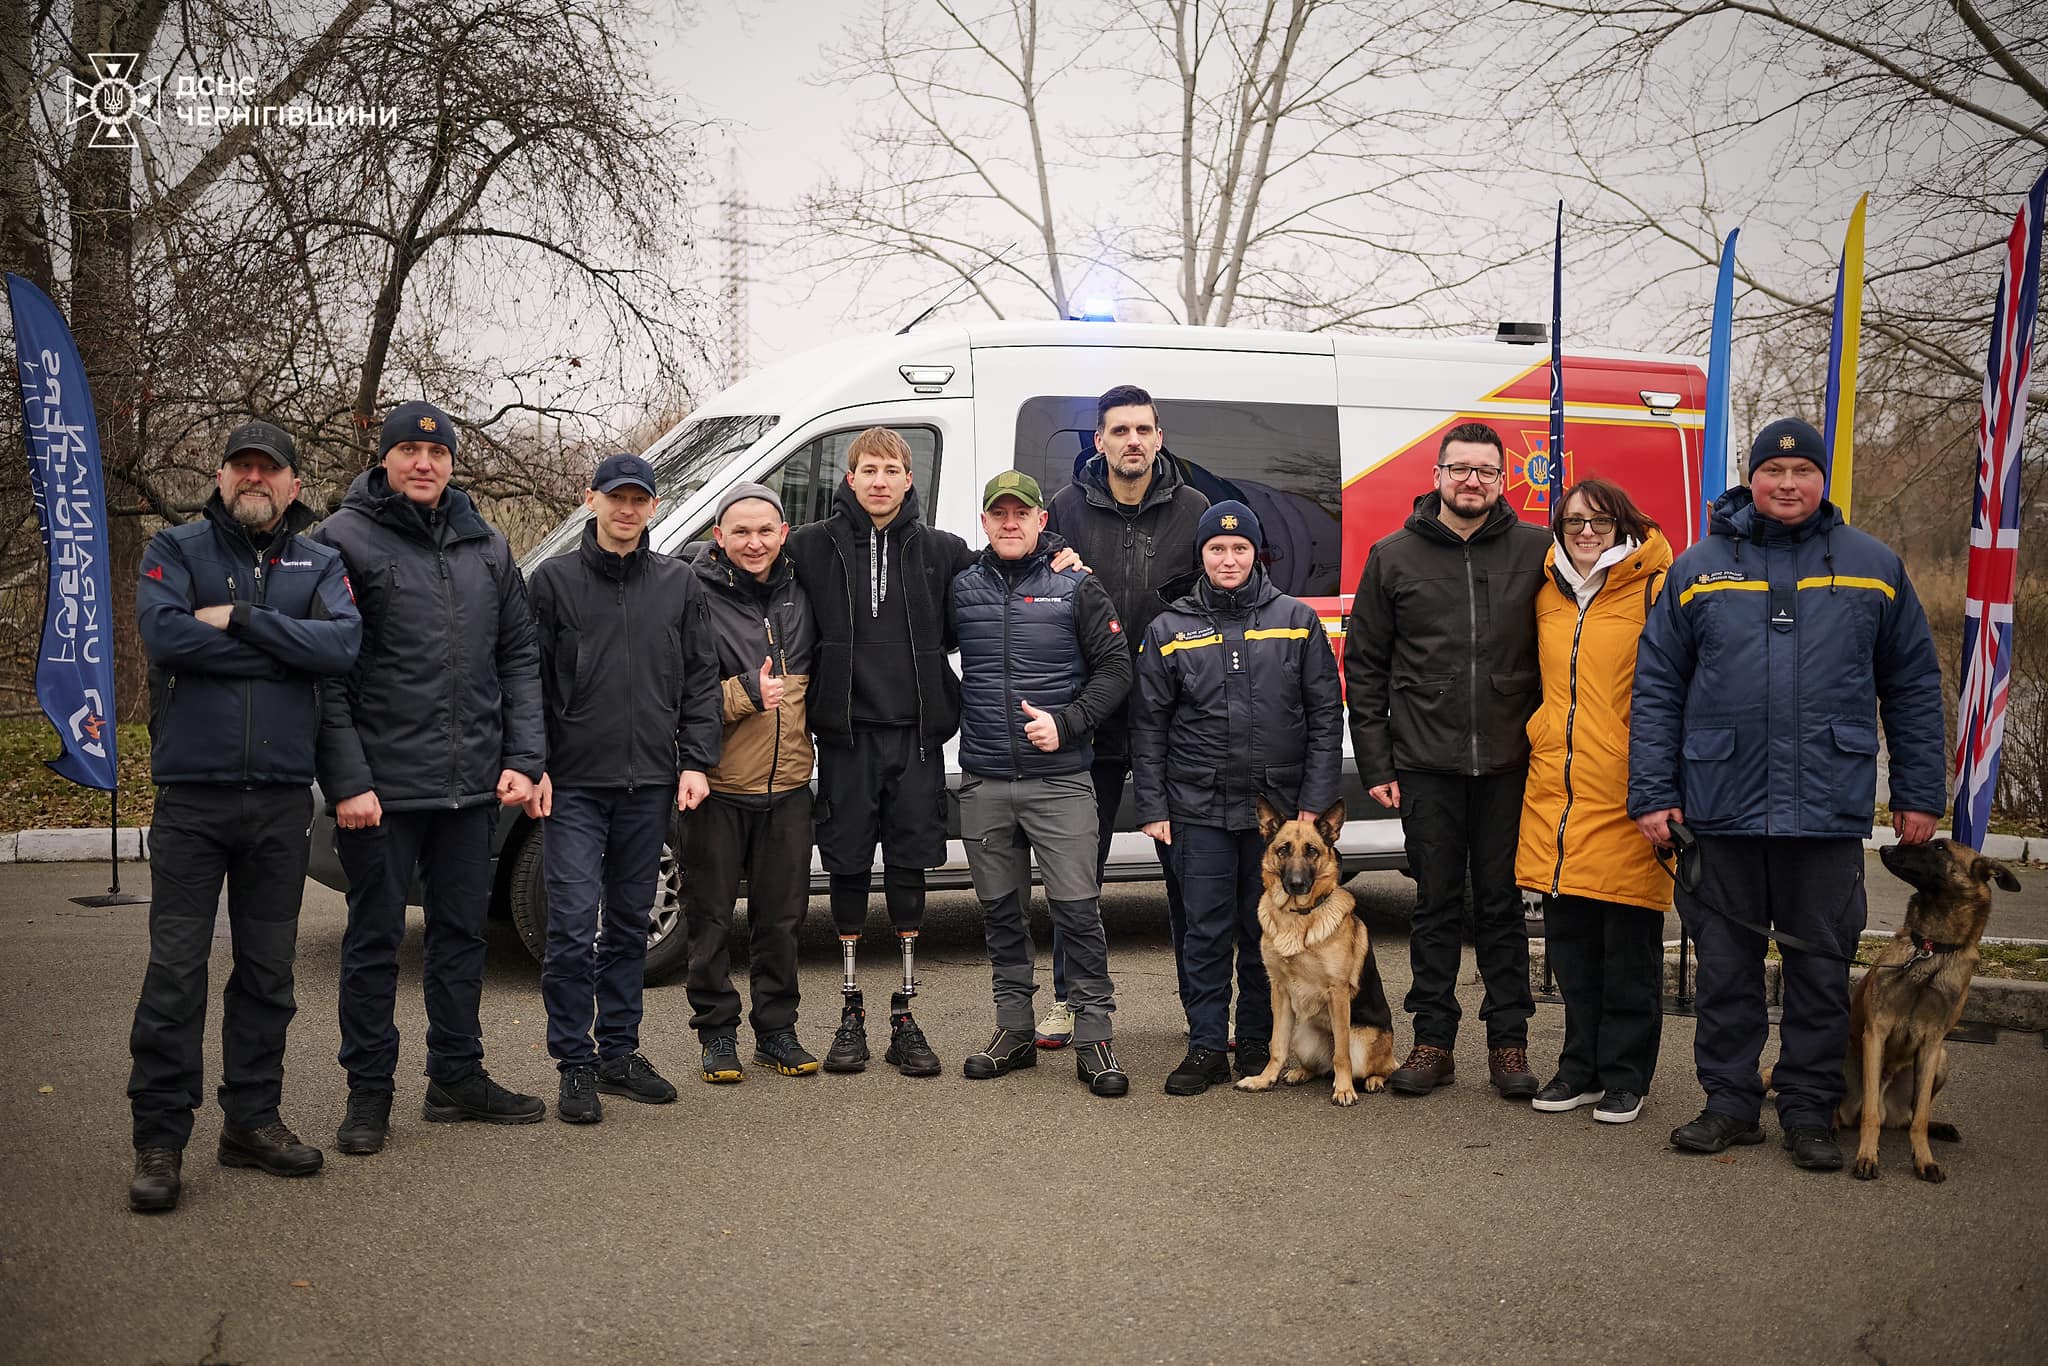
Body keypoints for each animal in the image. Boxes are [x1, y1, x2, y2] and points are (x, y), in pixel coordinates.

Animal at [1220, 794, 1400, 1105]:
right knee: (1321, 1066)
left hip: (1364, 1042)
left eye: (1312, 851)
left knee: (1378, 1065)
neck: (1298, 916)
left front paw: (1344, 1089)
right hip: (1302, 1034)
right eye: (1283, 850)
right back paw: (1300, 1072)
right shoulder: (1279, 990)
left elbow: (1342, 1056)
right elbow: (1276, 1045)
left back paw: (1371, 1080)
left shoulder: (1337, 992)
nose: (1296, 884)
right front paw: (1264, 1079)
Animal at [1851, 839, 2023, 1179]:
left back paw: (1938, 1127)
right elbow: (1870, 1116)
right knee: (1868, 1111)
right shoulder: (1875, 1033)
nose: (1886, 847)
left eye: (1939, 847)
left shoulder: (1932, 1044)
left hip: (1942, 1059)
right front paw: (1867, 1156)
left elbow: (1919, 1117)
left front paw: (1924, 1158)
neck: (1930, 951)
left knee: (1911, 1116)